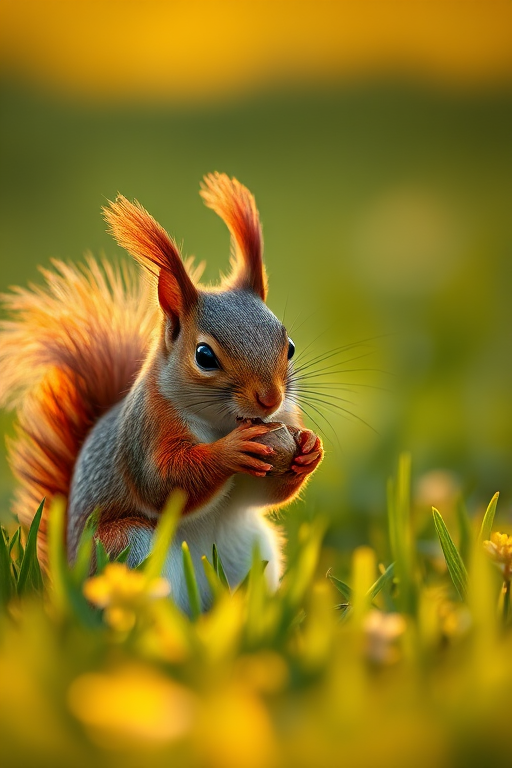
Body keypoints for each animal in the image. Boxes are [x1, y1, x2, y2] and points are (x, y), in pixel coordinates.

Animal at [0, 173, 323, 612]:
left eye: (288, 347)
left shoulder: (280, 424)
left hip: (252, 547)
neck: (223, 422)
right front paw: (230, 452)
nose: (270, 399)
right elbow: (164, 482)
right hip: (125, 548)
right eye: (204, 356)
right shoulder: (148, 428)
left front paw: (308, 449)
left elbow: (263, 494)